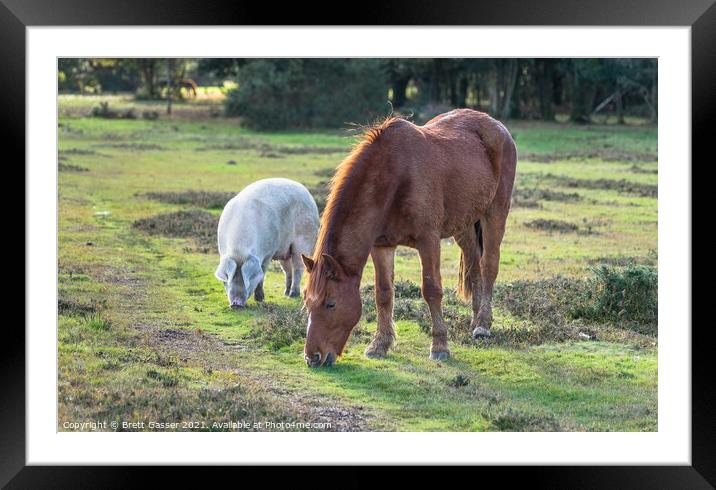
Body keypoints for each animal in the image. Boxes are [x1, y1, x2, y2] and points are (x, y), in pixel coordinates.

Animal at [215, 178, 318, 308]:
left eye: (248, 281)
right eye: (228, 280)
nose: (236, 303)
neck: (239, 249)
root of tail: (308, 194)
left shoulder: (269, 252)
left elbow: (262, 274)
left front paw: (259, 299)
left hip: (304, 238)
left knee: (298, 267)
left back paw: (293, 294)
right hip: (285, 251)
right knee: (288, 270)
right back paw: (285, 293)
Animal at [300, 109, 516, 366]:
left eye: (330, 303)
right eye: (307, 301)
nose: (312, 357)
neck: (395, 178)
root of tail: (495, 125)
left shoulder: (428, 241)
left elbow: (431, 290)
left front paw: (440, 345)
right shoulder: (382, 245)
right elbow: (383, 293)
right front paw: (380, 344)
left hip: (495, 214)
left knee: (488, 266)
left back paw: (483, 324)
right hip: (463, 225)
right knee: (474, 268)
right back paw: (475, 321)